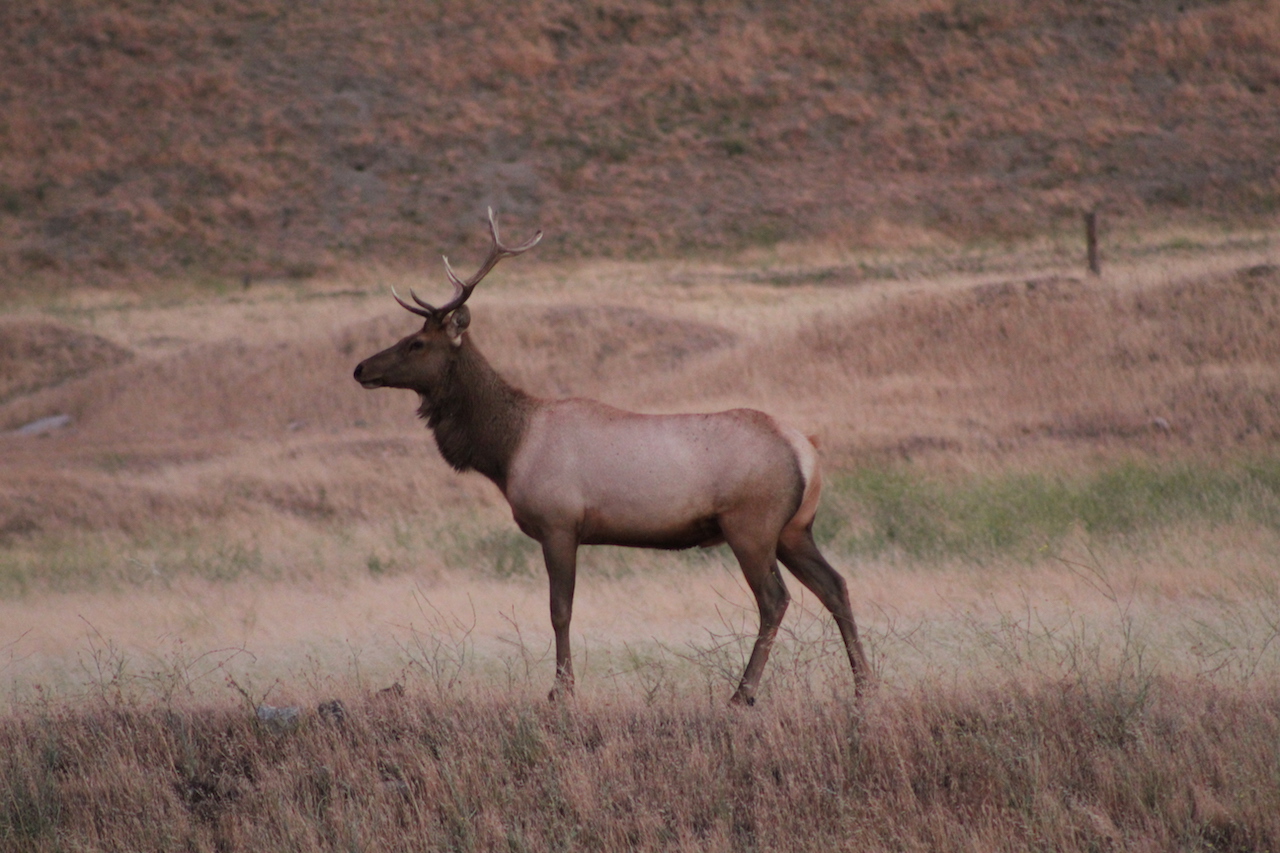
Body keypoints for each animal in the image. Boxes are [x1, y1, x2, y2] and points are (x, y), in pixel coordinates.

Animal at [350, 208, 870, 701]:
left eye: (416, 342)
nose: (360, 368)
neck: (508, 450)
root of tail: (806, 452)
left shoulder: (559, 523)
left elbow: (560, 610)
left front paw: (561, 690)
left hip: (751, 525)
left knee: (775, 599)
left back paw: (743, 693)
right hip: (795, 528)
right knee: (836, 585)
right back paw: (864, 685)